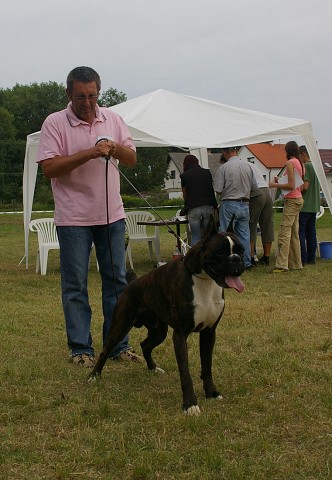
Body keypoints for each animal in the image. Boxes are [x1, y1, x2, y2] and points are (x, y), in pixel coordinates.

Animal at [87, 216, 245, 414]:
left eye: (241, 251)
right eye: (220, 252)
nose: (236, 260)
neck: (204, 280)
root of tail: (131, 284)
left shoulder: (209, 332)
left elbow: (207, 366)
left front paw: (211, 393)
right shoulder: (180, 335)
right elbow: (185, 372)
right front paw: (190, 404)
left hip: (158, 331)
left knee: (145, 345)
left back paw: (153, 368)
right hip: (120, 326)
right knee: (105, 351)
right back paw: (94, 376)